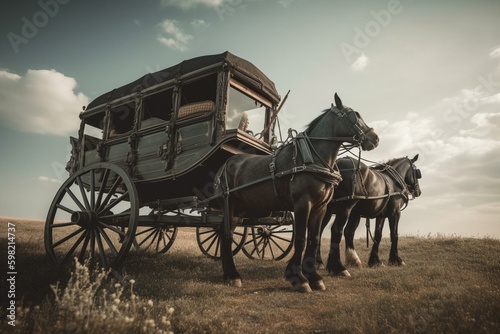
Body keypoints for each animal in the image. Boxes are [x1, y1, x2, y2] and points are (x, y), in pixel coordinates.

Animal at [214, 94, 378, 292]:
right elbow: (300, 239)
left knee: (225, 232)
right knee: (226, 235)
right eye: (355, 115)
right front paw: (299, 278)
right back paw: (232, 275)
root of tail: (225, 165)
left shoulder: (320, 207)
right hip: (230, 204)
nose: (375, 138)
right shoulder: (302, 204)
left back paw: (228, 272)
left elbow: (314, 239)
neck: (310, 159)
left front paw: (314, 277)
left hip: (241, 209)